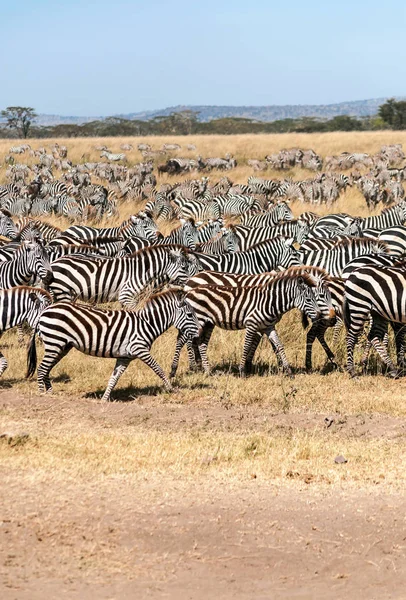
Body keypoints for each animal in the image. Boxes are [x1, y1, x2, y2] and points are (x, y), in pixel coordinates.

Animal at [26, 288, 201, 400]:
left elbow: (114, 378)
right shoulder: (140, 349)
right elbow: (158, 369)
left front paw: (104, 399)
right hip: (54, 343)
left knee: (46, 369)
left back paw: (50, 392)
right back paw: (42, 395)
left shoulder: (125, 357)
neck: (146, 324)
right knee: (42, 369)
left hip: (62, 346)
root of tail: (45, 311)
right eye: (190, 315)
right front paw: (172, 389)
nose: (200, 333)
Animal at [50, 245, 199, 308]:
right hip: (63, 292)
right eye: (184, 268)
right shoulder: (127, 296)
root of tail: (55, 262)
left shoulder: (129, 298)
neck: (141, 271)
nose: (192, 284)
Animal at [170, 268, 332, 376]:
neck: (270, 301)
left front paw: (287, 370)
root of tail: (190, 288)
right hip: (198, 320)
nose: (325, 316)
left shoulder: (268, 326)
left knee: (201, 343)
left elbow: (278, 345)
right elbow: (248, 345)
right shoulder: (252, 324)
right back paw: (179, 369)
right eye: (313, 298)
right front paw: (243, 370)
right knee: (183, 340)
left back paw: (207, 370)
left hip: (208, 323)